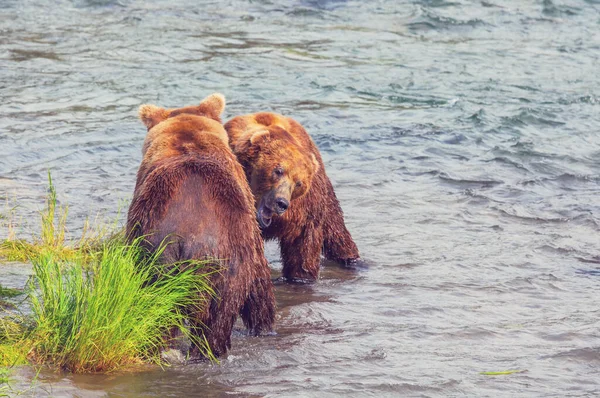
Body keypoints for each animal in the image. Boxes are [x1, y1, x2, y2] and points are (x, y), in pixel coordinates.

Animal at [127, 94, 278, 358]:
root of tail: (186, 237)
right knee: (216, 320)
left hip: (152, 256)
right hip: (225, 261)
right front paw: (265, 325)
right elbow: (260, 281)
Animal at [224, 110, 356, 282]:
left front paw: (301, 277)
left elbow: (303, 245)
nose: (281, 202)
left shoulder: (303, 210)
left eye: (298, 183)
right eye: (278, 170)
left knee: (335, 227)